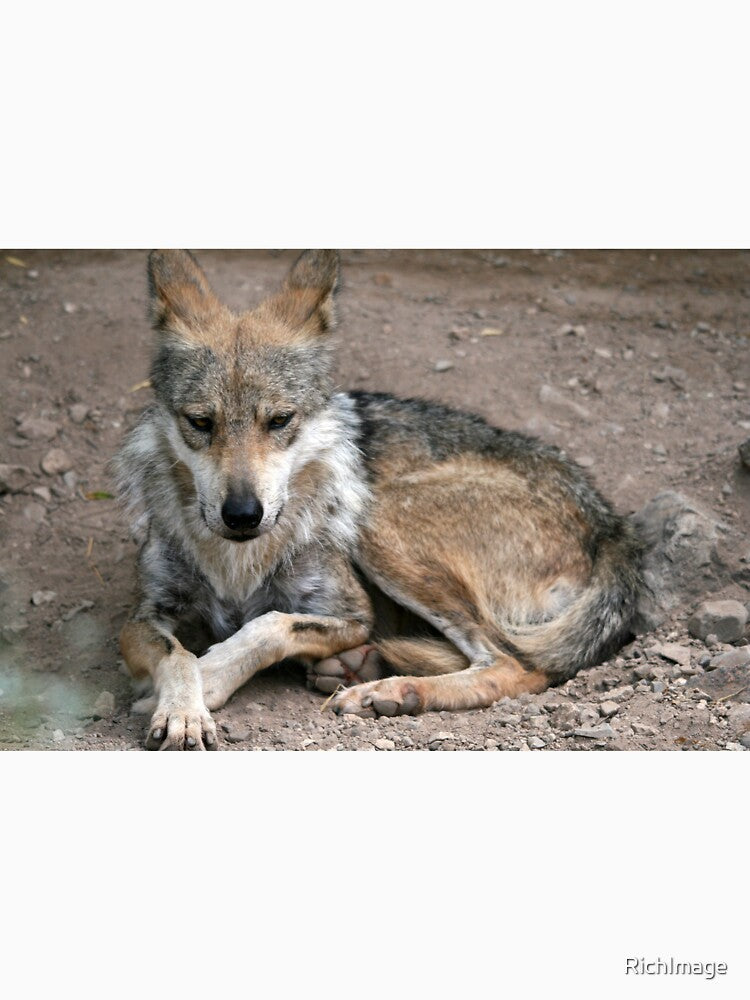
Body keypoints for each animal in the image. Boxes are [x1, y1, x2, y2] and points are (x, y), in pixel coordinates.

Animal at [114, 249, 643, 750]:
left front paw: (208, 678)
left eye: (280, 420)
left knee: (516, 664)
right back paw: (361, 668)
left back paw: (390, 689)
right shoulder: (144, 614)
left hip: (378, 522)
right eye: (201, 422)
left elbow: (270, 625)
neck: (237, 564)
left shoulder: (353, 613)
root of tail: (611, 526)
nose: (243, 515)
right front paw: (182, 708)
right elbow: (178, 655)